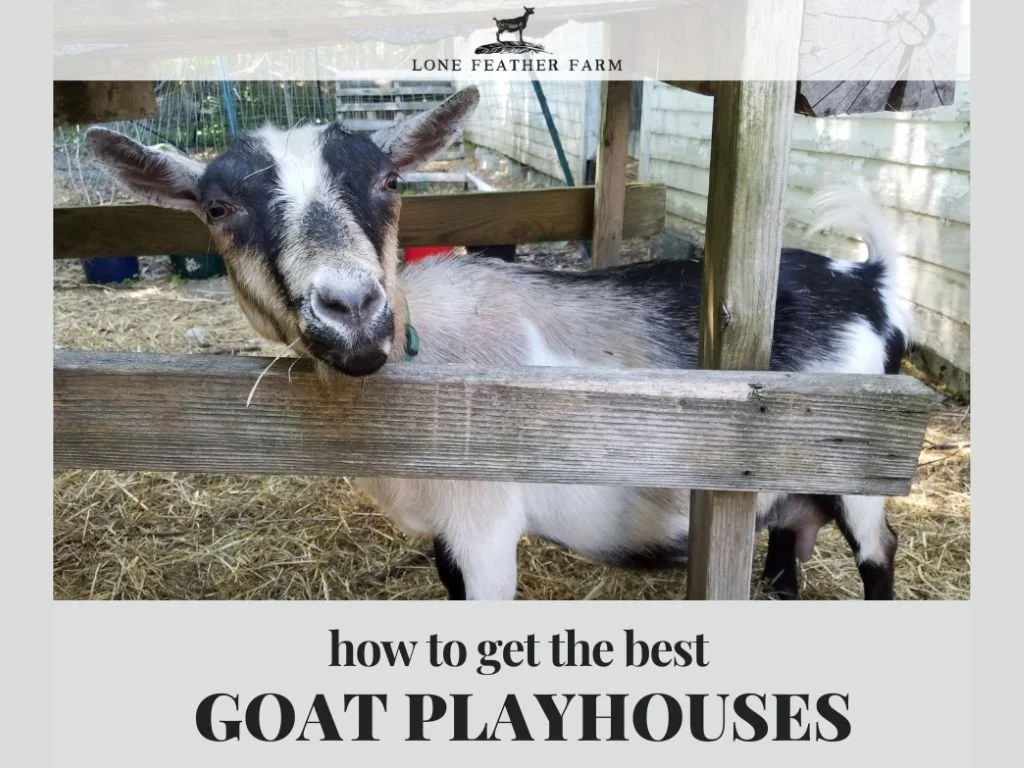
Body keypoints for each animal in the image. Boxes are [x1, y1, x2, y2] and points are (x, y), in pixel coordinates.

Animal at [86, 86, 913, 601]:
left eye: (390, 180)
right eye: (218, 207)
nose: (352, 310)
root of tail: (868, 281)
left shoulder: (485, 530)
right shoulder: (446, 534)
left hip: (856, 470)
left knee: (878, 551)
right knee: (789, 545)